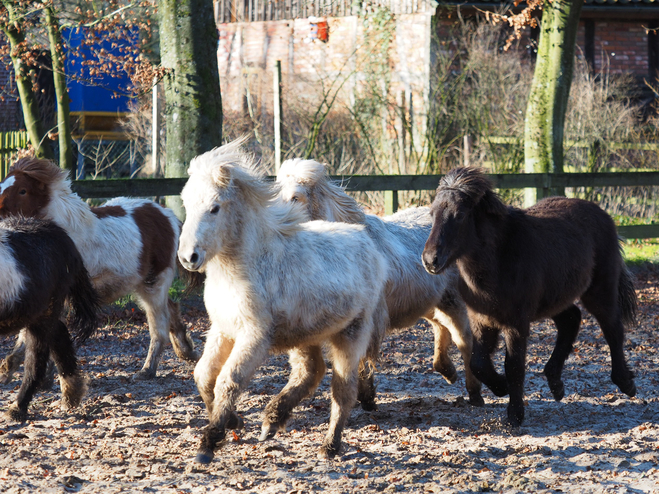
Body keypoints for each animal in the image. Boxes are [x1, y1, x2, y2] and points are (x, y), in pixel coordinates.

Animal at [0, 158, 199, 378]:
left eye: (23, 191)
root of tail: (167, 214)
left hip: (154, 284)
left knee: (159, 326)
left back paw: (147, 370)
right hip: (143, 284)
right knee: (172, 308)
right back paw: (187, 352)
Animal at [0, 216, 99, 420]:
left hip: (46, 311)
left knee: (36, 361)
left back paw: (18, 408)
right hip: (38, 312)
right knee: (59, 334)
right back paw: (71, 393)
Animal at [178, 140, 390, 464]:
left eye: (214, 208)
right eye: (186, 204)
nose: (188, 257)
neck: (246, 266)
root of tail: (365, 240)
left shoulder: (254, 337)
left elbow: (229, 379)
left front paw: (209, 443)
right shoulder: (222, 329)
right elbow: (203, 375)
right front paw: (232, 422)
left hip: (351, 333)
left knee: (343, 389)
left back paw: (329, 446)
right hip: (305, 334)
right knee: (311, 371)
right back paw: (271, 422)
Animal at [278, 158, 484, 406]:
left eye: (295, 197)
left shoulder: (369, 316)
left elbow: (362, 355)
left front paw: (366, 397)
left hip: (453, 300)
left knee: (464, 339)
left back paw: (474, 392)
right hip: (431, 301)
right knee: (441, 326)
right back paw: (447, 370)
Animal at [422, 169, 640, 424]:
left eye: (460, 215)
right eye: (432, 214)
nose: (430, 260)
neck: (499, 260)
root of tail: (602, 214)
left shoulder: (516, 323)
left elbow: (514, 366)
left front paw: (515, 414)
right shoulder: (482, 320)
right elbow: (478, 363)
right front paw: (501, 388)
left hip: (599, 290)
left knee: (612, 329)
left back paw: (625, 383)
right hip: (555, 297)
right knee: (571, 320)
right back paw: (555, 382)